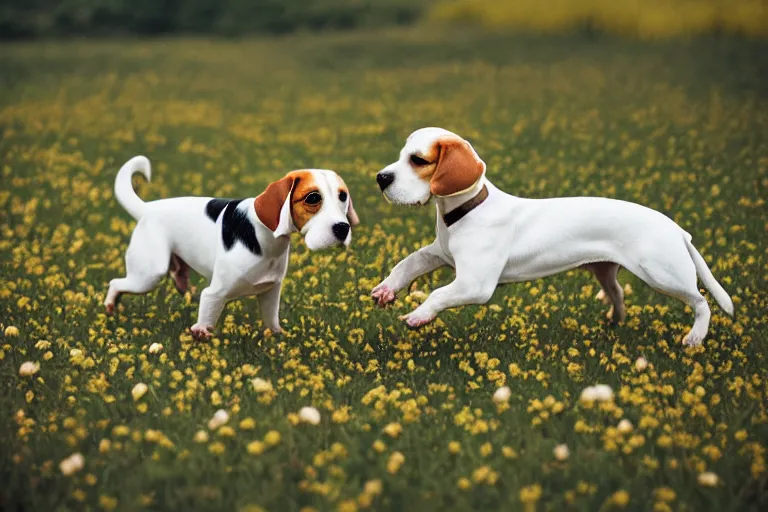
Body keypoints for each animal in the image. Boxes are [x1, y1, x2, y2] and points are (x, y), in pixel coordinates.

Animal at [105, 156, 360, 340]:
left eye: (343, 196)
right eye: (312, 198)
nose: (343, 229)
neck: (266, 239)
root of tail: (147, 209)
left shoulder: (270, 294)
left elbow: (273, 324)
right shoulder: (213, 295)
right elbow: (204, 325)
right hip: (148, 275)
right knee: (115, 283)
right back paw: (110, 308)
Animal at [376, 126, 736, 346]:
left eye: (418, 160)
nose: (380, 178)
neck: (463, 212)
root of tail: (676, 228)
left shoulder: (474, 285)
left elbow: (437, 293)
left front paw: (419, 316)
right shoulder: (439, 254)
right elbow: (407, 264)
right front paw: (386, 290)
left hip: (662, 273)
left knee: (701, 301)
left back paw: (695, 337)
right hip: (605, 269)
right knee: (618, 293)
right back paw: (613, 322)